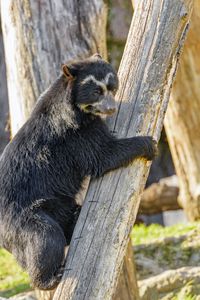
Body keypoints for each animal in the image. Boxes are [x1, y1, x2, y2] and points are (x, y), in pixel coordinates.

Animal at [0, 54, 156, 288]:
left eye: (112, 87)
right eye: (96, 91)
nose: (112, 109)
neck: (75, 108)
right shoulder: (75, 135)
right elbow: (104, 154)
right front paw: (150, 145)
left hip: (59, 206)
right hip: (23, 218)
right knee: (46, 238)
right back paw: (50, 279)